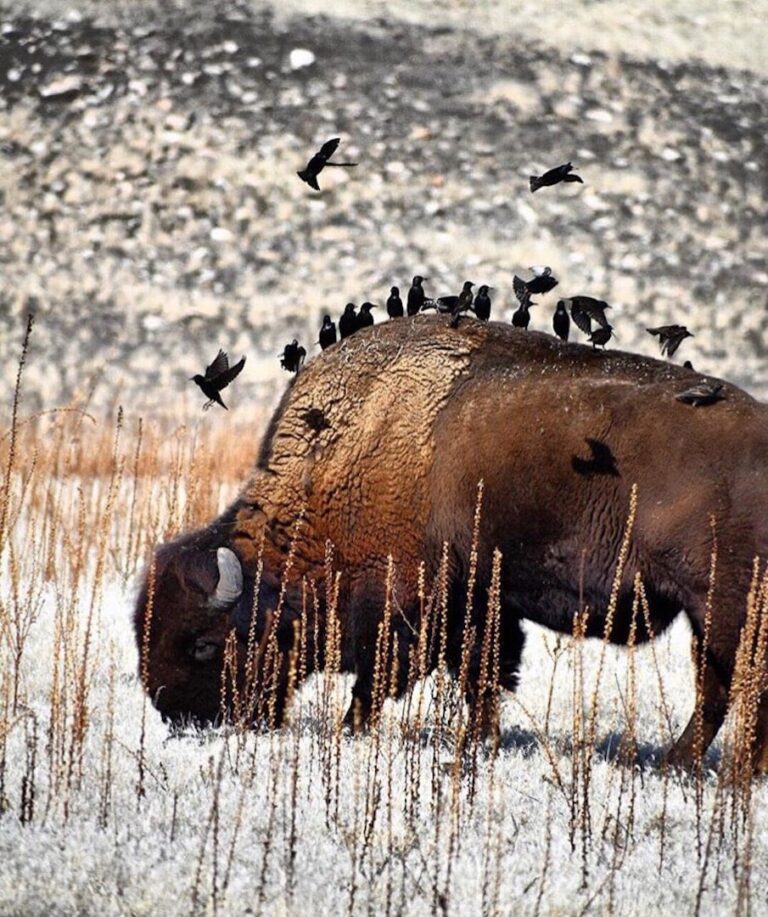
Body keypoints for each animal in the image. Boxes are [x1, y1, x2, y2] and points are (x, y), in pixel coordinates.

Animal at [134, 316, 768, 772]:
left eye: (203, 645)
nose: (176, 715)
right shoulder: (484, 602)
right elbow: (482, 677)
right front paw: (476, 741)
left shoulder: (419, 607)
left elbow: (405, 678)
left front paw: (367, 733)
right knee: (722, 688)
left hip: (722, 605)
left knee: (733, 686)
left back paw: (718, 771)